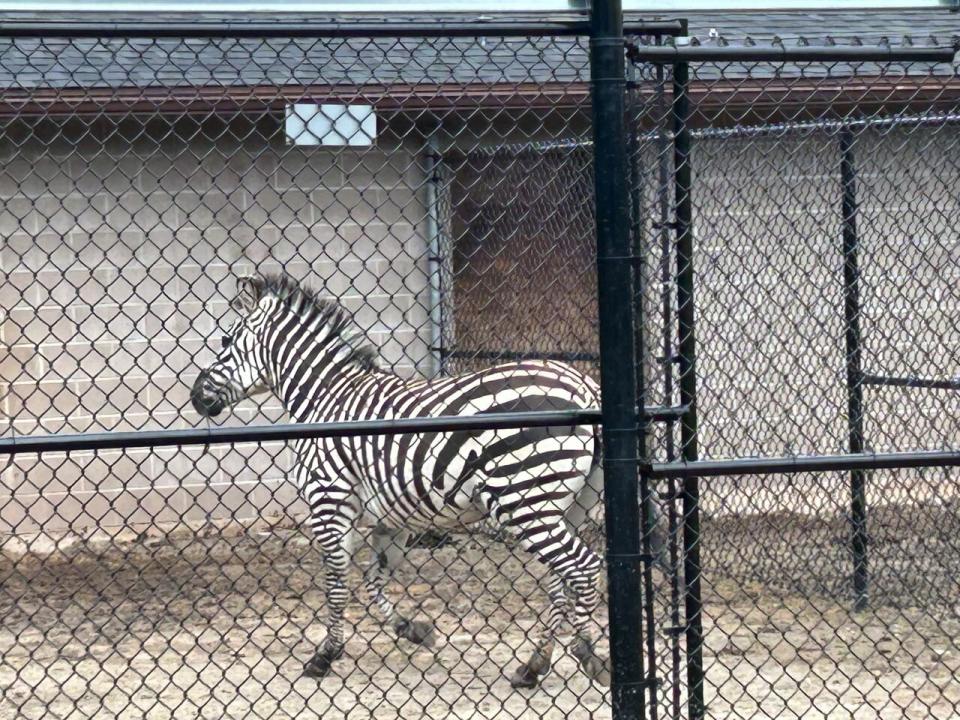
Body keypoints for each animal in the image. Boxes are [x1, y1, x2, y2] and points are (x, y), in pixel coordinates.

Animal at [190, 272, 632, 688]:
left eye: (226, 340)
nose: (196, 397)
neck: (326, 398)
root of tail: (585, 387)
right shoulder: (392, 517)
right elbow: (373, 580)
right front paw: (413, 629)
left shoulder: (329, 500)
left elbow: (336, 581)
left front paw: (325, 656)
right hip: (569, 505)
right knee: (562, 578)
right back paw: (532, 666)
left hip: (523, 500)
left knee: (582, 566)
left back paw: (588, 653)